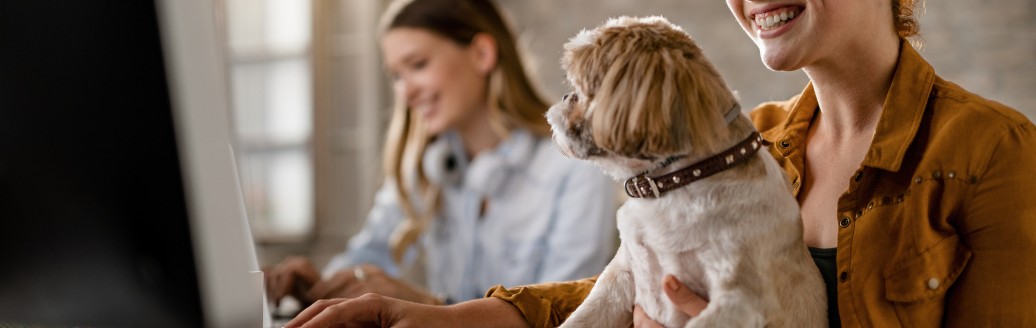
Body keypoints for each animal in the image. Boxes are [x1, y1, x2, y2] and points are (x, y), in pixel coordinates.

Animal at [551, 16, 824, 324]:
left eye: (583, 88)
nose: (566, 95)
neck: (679, 182)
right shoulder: (621, 273)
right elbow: (585, 315)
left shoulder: (741, 301)